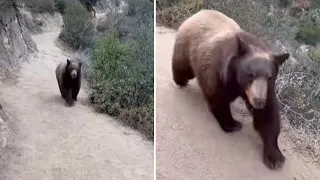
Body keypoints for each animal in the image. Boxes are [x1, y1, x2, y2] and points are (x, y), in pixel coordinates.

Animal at [172, 9, 290, 170]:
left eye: (270, 77)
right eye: (251, 74)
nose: (258, 101)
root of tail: (199, 13)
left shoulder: (267, 89)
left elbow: (268, 115)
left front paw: (275, 157)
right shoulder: (218, 71)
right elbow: (217, 97)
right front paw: (233, 124)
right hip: (186, 46)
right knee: (183, 67)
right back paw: (180, 80)